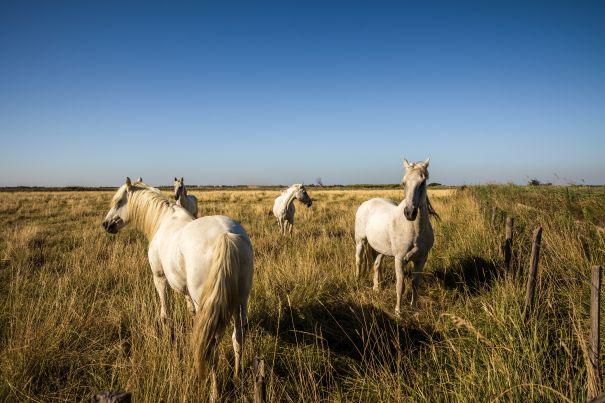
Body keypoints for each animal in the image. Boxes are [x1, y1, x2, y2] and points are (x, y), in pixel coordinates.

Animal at [100, 178, 251, 400]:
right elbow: (191, 312)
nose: (106, 224)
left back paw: (214, 392)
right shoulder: (188, 293)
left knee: (212, 347)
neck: (164, 221)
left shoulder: (159, 279)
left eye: (119, 201)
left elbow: (165, 315)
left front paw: (168, 341)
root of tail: (226, 235)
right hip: (241, 301)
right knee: (238, 337)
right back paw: (238, 376)